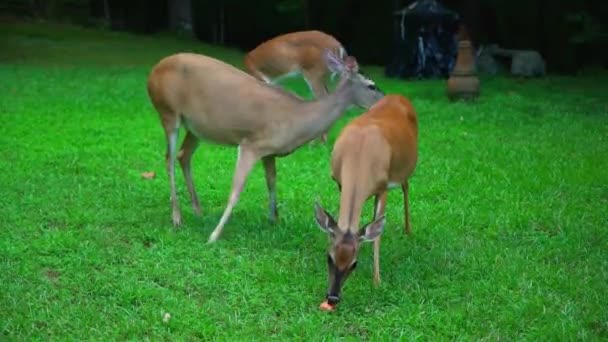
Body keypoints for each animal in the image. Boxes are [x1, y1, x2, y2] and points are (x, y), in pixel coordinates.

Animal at [146, 49, 384, 244]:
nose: (384, 101)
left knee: (183, 156)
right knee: (168, 159)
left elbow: (271, 182)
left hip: (196, 128)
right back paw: (177, 217)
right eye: (372, 85)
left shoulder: (269, 152)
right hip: (168, 112)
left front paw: (274, 219)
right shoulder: (251, 144)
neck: (296, 119)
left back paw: (197, 210)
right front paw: (214, 236)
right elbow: (236, 190)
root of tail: (153, 72)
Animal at [314, 93, 418, 310]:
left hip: (404, 169)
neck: (359, 155)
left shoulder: (383, 187)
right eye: (329, 257)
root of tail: (398, 95)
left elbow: (377, 235)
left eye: (354, 264)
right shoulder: (340, 182)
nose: (332, 297)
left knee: (406, 186)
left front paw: (377, 280)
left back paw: (408, 230)